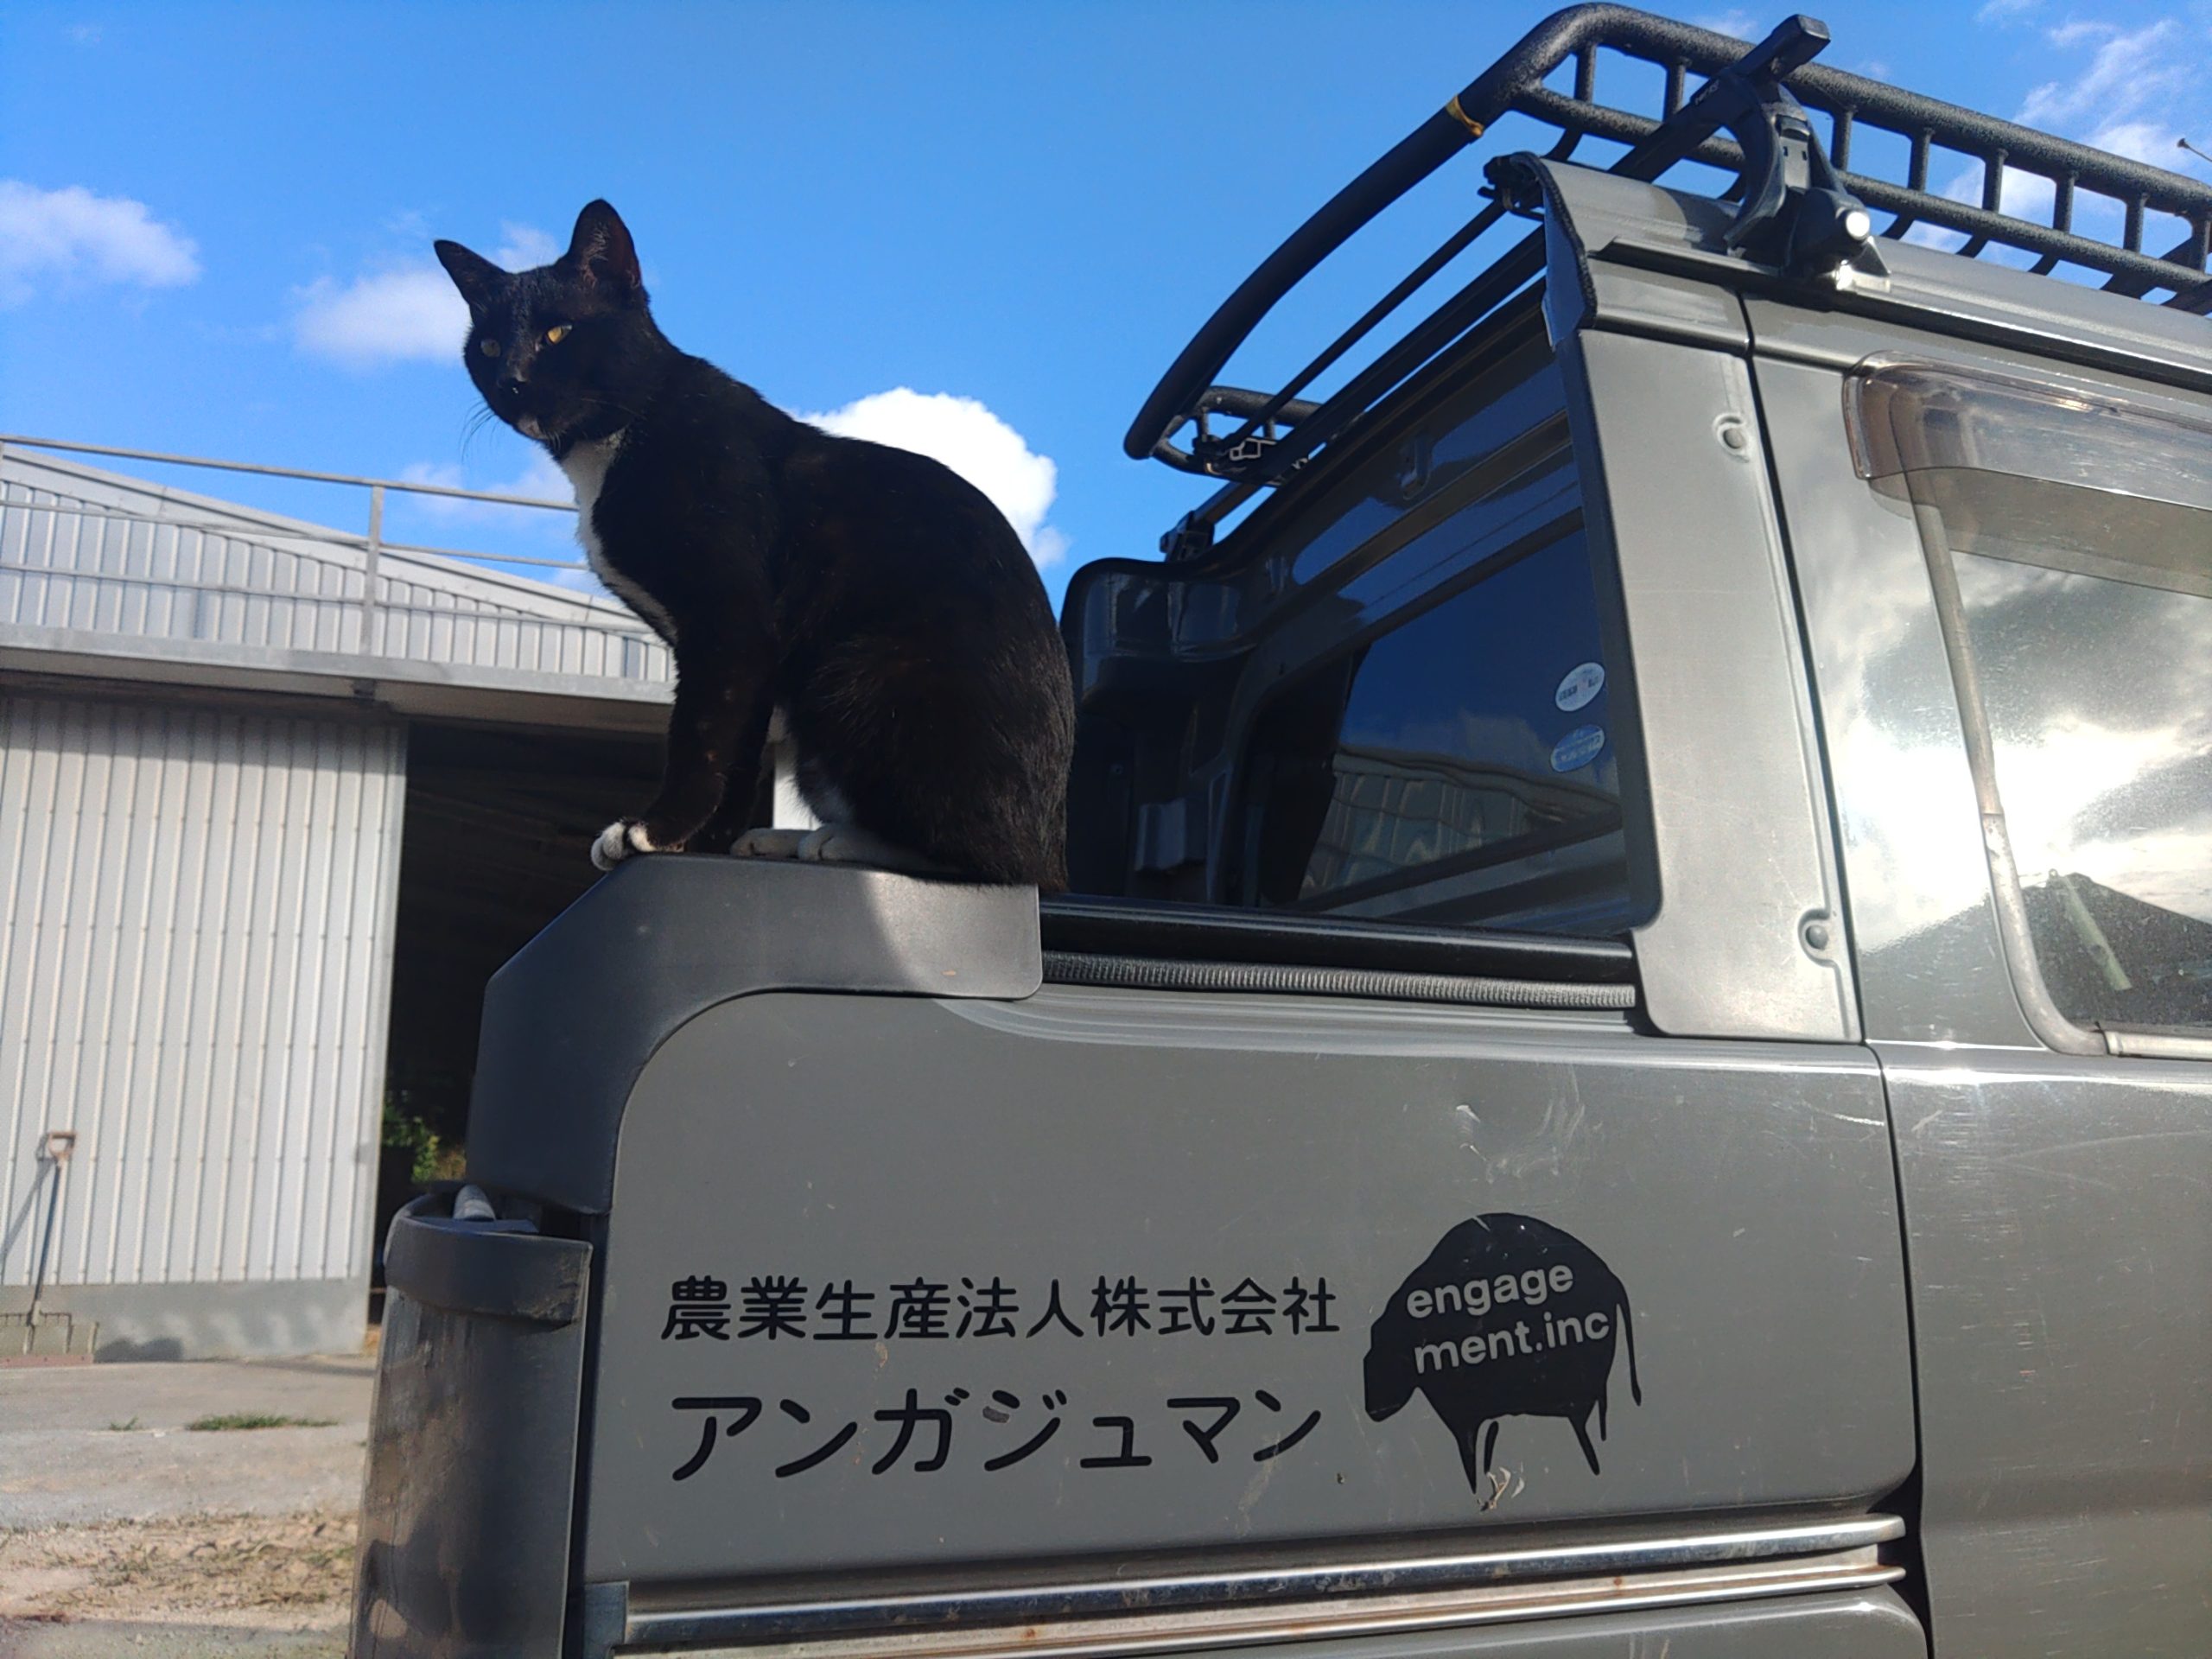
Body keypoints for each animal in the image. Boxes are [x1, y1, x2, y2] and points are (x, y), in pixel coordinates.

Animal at [434, 201, 1074, 890]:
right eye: (488, 345)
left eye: (558, 333)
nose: (511, 379)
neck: (620, 434)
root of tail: (1052, 843)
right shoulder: (742, 650)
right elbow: (735, 749)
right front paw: (702, 841)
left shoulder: (729, 619)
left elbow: (699, 735)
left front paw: (651, 831)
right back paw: (784, 839)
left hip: (862, 674)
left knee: (989, 859)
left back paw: (842, 841)